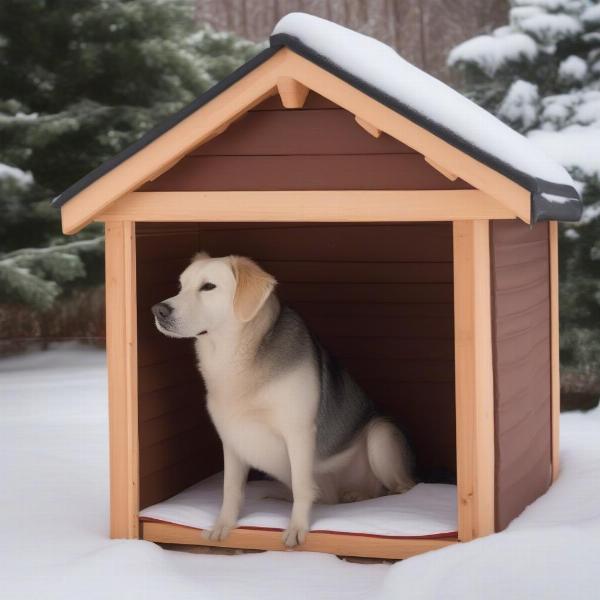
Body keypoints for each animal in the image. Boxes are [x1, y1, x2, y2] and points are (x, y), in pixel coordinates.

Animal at [152, 251, 414, 548]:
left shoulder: (298, 433)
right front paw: (224, 525)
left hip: (381, 435)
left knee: (398, 488)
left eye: (208, 287)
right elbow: (230, 489)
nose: (159, 310)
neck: (239, 358)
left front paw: (297, 528)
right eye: (180, 286)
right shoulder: (232, 440)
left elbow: (302, 487)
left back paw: (361, 496)